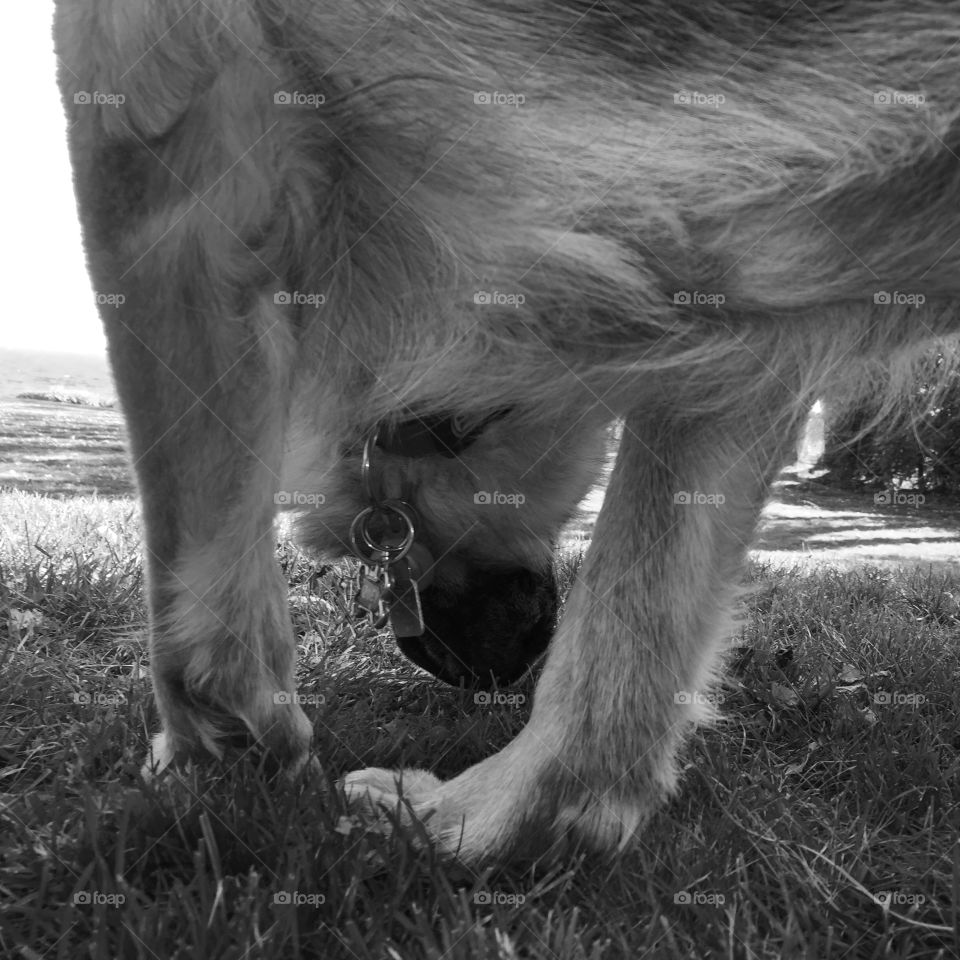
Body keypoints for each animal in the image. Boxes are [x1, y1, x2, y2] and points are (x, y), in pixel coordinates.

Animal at [54, 0, 960, 868]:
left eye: (389, 528)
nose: (482, 663)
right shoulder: (732, 295)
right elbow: (638, 627)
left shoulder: (164, 106)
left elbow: (196, 577)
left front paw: (216, 757)